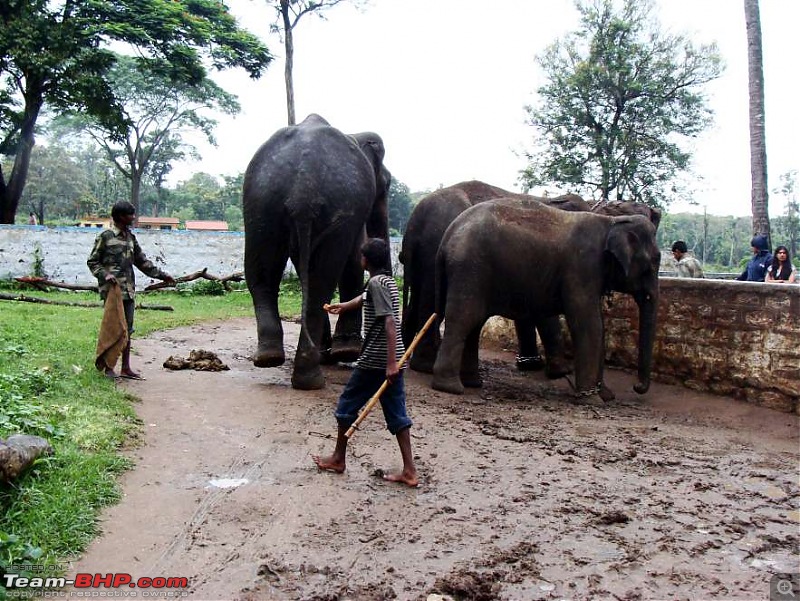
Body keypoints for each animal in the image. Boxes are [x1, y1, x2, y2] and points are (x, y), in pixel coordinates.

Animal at [245, 113, 392, 390]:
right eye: (387, 184)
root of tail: (303, 189)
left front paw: (334, 353)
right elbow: (353, 259)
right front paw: (346, 352)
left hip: (261, 200)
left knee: (262, 272)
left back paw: (270, 359)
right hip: (332, 202)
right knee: (322, 279)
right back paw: (311, 378)